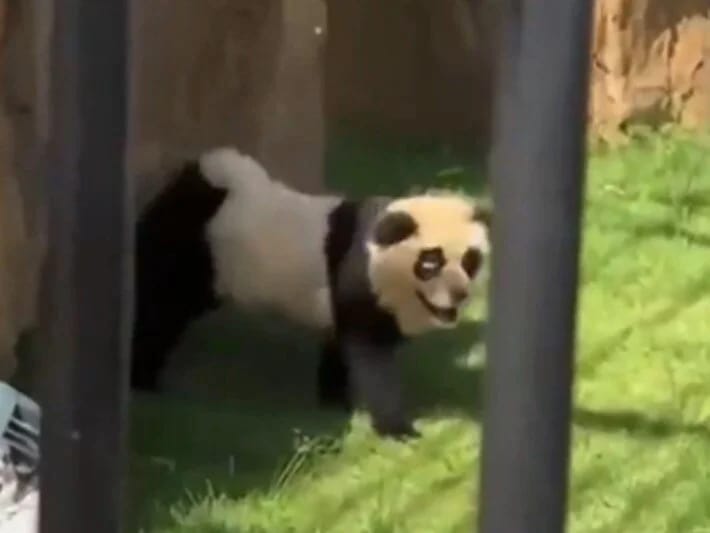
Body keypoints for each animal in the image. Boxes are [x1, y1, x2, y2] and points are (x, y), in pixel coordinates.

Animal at [132, 147, 491, 439]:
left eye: (470, 261)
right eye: (431, 262)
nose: (459, 295)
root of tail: (201, 179)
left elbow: (339, 350)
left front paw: (334, 404)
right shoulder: (359, 279)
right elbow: (372, 359)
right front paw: (398, 429)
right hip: (194, 250)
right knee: (160, 309)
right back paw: (143, 382)